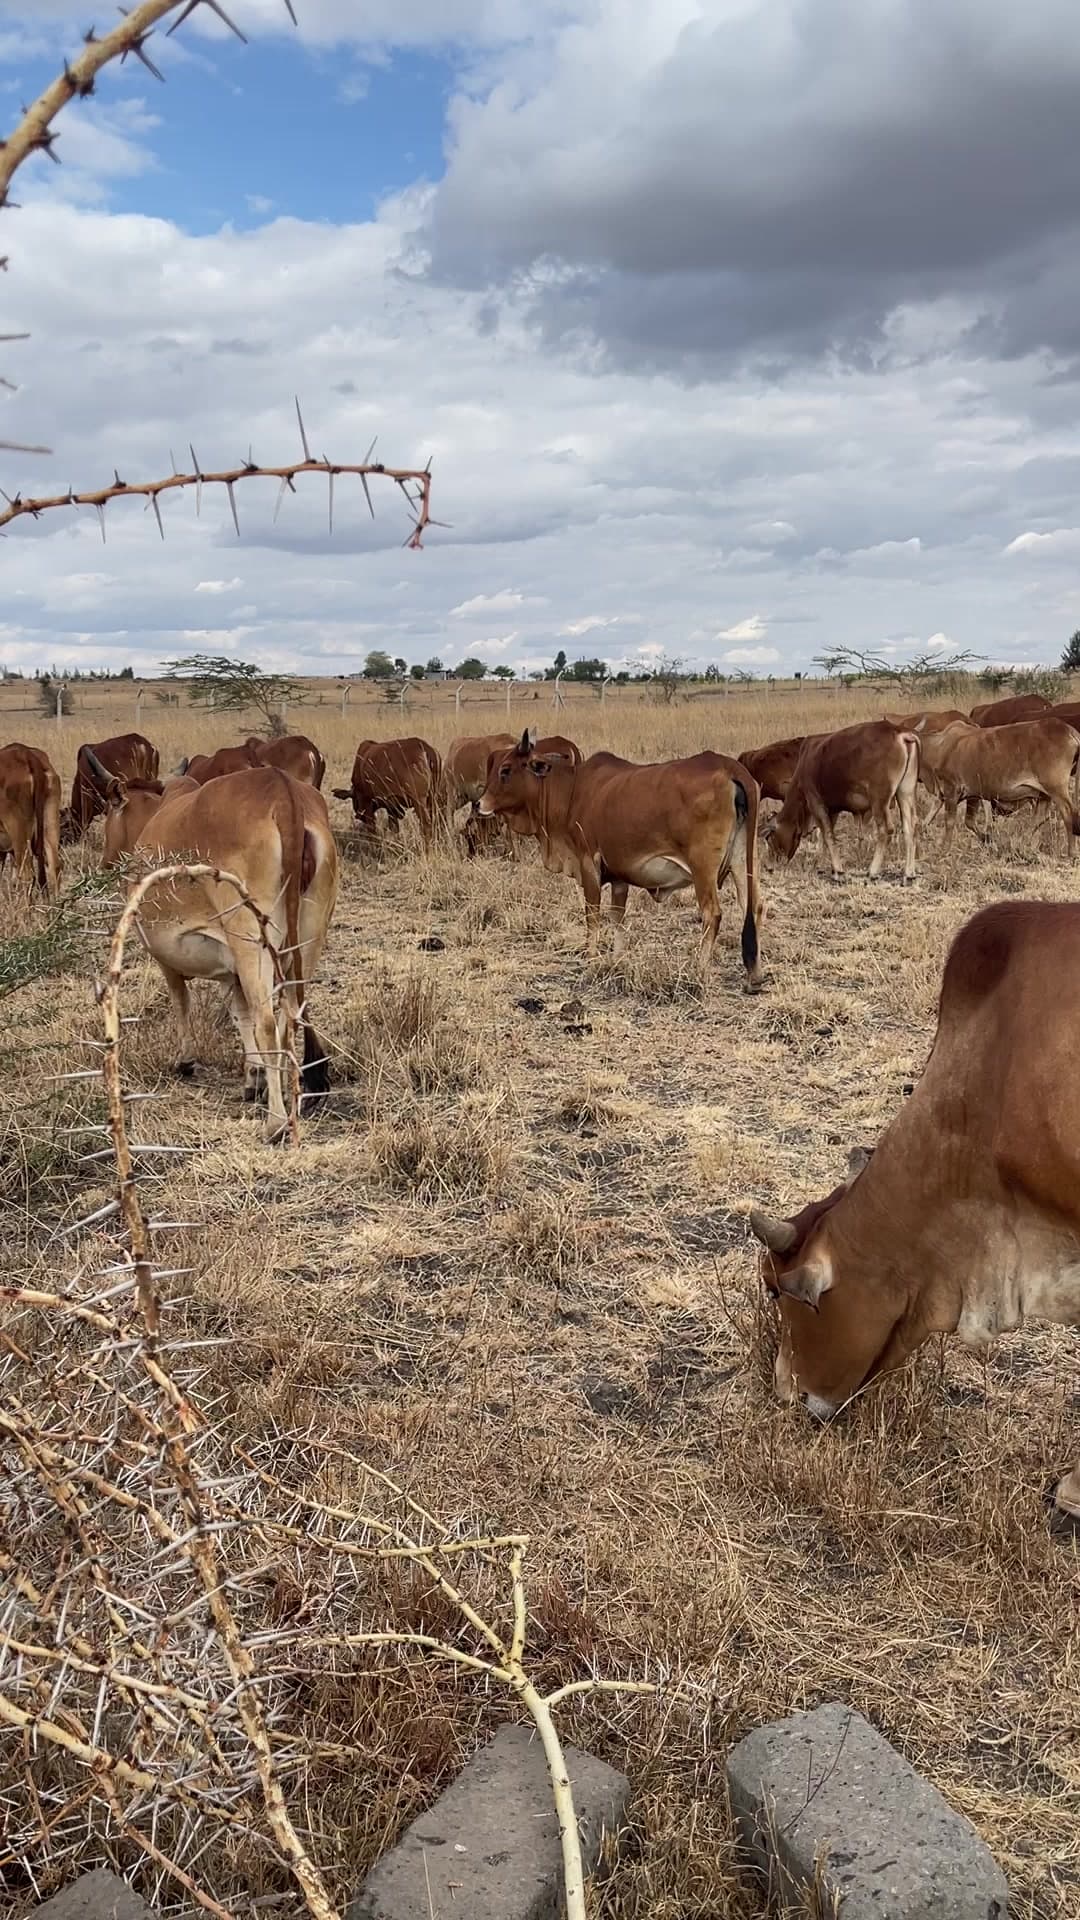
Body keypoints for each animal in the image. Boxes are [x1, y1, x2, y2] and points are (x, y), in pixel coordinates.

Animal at [82, 754, 337, 1143]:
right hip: (308, 937)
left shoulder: (165, 956)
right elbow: (240, 1013)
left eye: (110, 808)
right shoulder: (231, 969)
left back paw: (276, 1122)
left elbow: (182, 1002)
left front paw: (186, 1060)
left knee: (268, 1021)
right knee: (289, 1013)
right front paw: (254, 1077)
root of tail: (282, 791)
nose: (104, 862)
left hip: (250, 935)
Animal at [478, 730, 763, 988]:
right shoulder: (619, 877)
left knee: (711, 914)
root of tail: (729, 767)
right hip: (744, 861)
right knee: (753, 907)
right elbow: (617, 918)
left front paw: (591, 958)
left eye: (505, 770)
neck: (571, 791)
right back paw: (754, 976)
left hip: (702, 868)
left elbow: (592, 916)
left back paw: (699, 970)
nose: (480, 804)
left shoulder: (588, 864)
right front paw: (616, 958)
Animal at [765, 721, 919, 882]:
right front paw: (825, 866)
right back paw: (909, 873)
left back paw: (873, 871)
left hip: (879, 799)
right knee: (910, 828)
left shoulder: (815, 803)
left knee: (886, 830)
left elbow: (827, 835)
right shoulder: (833, 810)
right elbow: (826, 837)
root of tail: (898, 731)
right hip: (905, 792)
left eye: (769, 839)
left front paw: (838, 871)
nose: (769, 867)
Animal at [915, 716, 1080, 854]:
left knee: (1068, 813)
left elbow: (949, 822)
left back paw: (1071, 853)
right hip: (1044, 794)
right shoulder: (971, 794)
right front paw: (988, 839)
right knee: (1039, 819)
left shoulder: (952, 788)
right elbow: (965, 821)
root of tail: (1069, 730)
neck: (939, 747)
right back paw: (1024, 846)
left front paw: (945, 849)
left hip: (1056, 788)